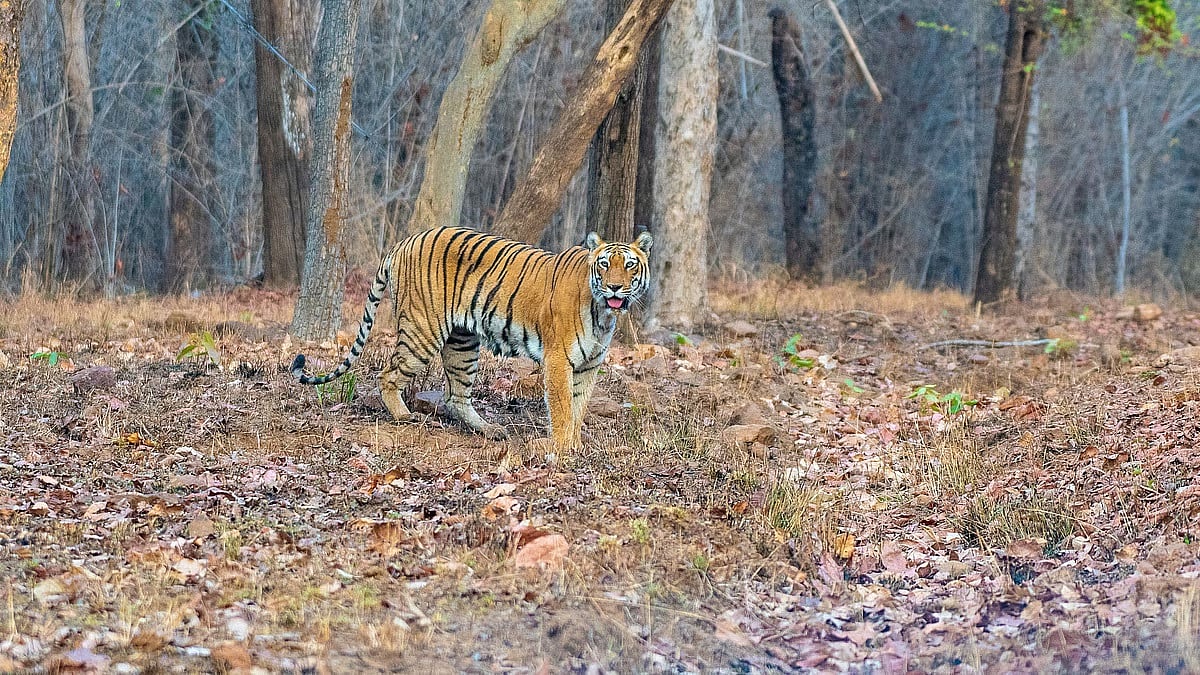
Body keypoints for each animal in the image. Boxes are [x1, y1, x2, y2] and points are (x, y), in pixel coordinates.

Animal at [291, 226, 653, 449]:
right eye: (604, 264)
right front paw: (563, 448)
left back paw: (490, 430)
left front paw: (574, 444)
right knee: (387, 374)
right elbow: (563, 407)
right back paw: (404, 416)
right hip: (422, 331)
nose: (615, 287)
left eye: (629, 265)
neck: (603, 314)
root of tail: (403, 242)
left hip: (462, 342)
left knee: (455, 396)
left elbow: (579, 407)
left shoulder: (589, 365)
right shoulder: (558, 360)